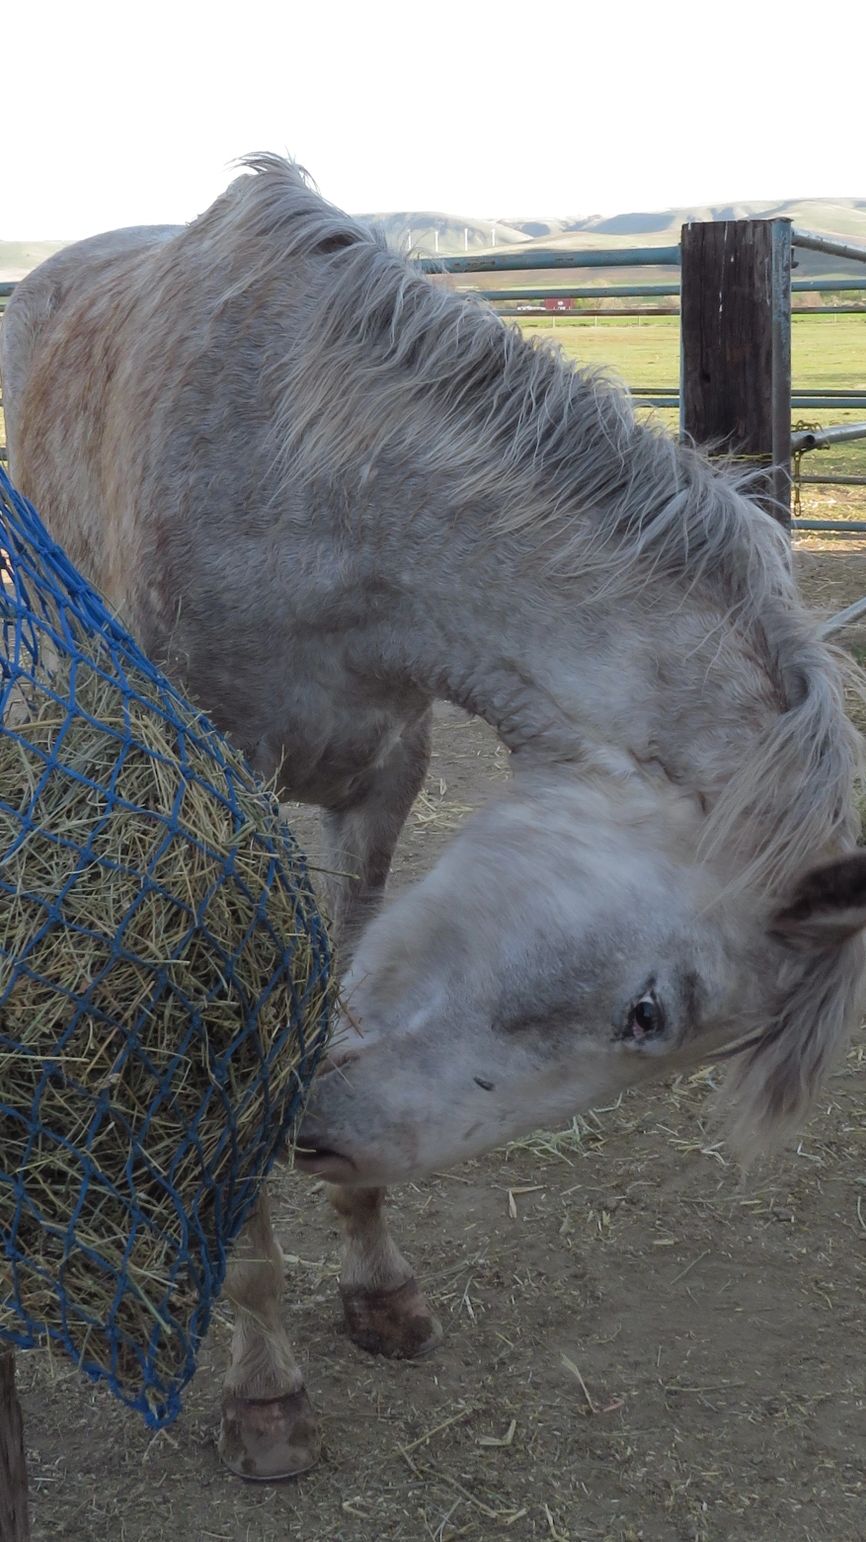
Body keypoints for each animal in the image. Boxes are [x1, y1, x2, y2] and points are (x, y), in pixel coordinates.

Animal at [3, 154, 865, 1483]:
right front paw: (264, 1388)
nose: (327, 1142)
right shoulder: (213, 831)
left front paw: (375, 1283)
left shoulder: (377, 794)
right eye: (646, 1013)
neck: (312, 484)